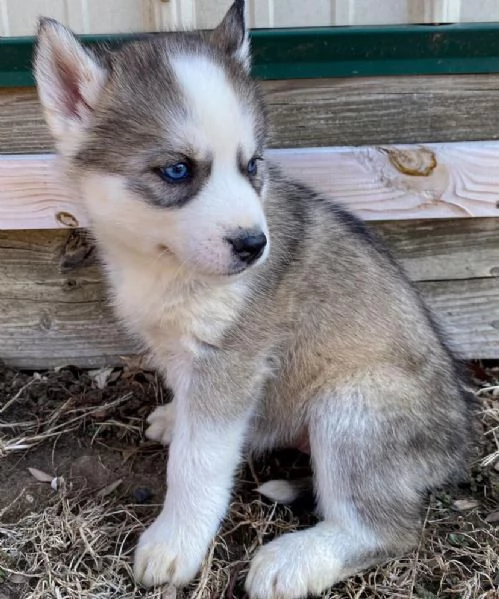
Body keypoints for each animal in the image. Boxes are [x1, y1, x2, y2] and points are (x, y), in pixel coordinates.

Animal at [34, 2, 472, 596]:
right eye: (177, 169)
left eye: (253, 165)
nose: (253, 245)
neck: (166, 265)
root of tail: (456, 447)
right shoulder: (189, 353)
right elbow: (196, 419)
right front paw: (177, 418)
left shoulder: (232, 363)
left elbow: (198, 463)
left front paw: (175, 543)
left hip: (352, 406)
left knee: (388, 530)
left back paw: (296, 560)